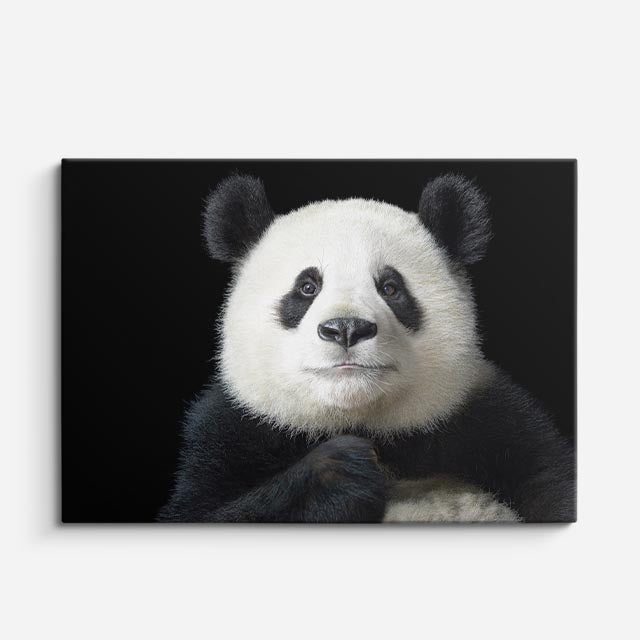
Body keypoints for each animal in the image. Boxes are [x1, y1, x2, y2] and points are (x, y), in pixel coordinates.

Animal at [158, 173, 576, 523]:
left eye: (390, 288)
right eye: (307, 287)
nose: (346, 328)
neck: (366, 423)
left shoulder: (495, 421)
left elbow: (550, 483)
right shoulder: (230, 433)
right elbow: (202, 512)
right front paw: (340, 473)